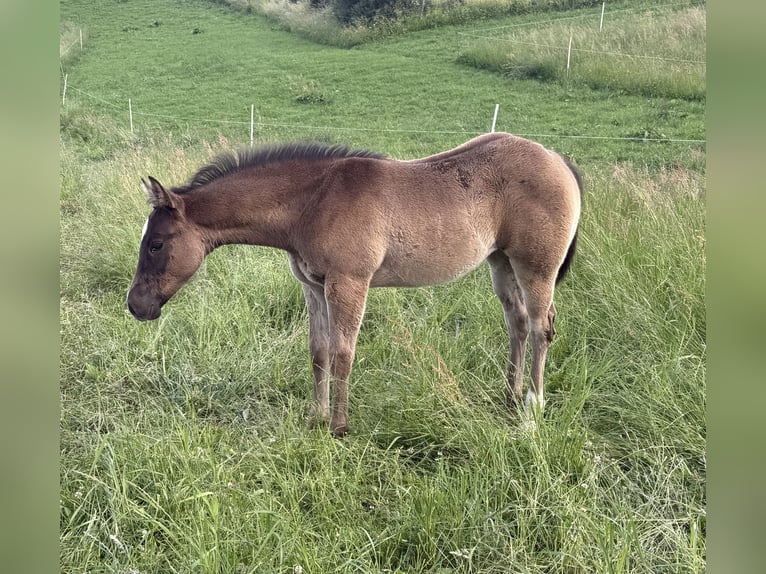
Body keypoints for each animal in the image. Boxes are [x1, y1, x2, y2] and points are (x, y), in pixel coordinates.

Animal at [127, 132, 582, 436]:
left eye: (156, 243)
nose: (135, 305)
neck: (313, 201)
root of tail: (559, 160)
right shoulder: (313, 286)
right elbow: (318, 352)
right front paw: (315, 416)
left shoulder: (348, 282)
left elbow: (343, 354)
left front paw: (340, 426)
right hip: (501, 263)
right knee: (517, 323)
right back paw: (510, 395)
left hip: (536, 268)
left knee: (541, 328)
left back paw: (533, 409)